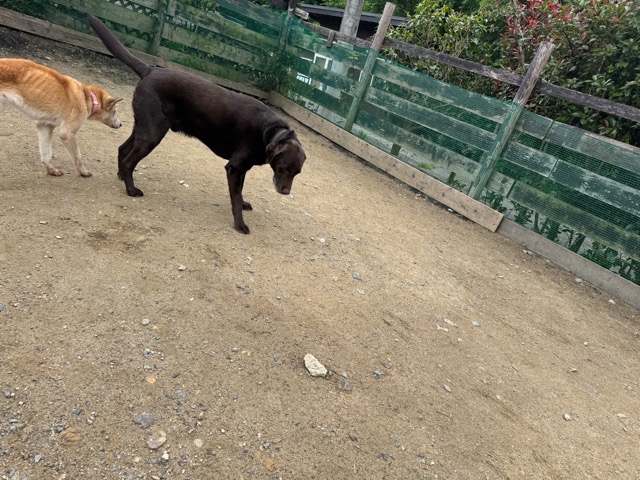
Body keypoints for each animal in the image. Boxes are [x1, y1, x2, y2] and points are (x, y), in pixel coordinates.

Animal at [87, 15, 306, 234]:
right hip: (153, 134)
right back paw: (131, 190)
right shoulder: (235, 167)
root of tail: (149, 71)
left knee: (123, 150)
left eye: (297, 173)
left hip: (144, 128)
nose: (285, 192)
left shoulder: (243, 168)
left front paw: (244, 204)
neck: (270, 131)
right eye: (284, 169)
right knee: (128, 161)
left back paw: (122, 178)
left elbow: (241, 191)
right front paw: (240, 224)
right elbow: (235, 198)